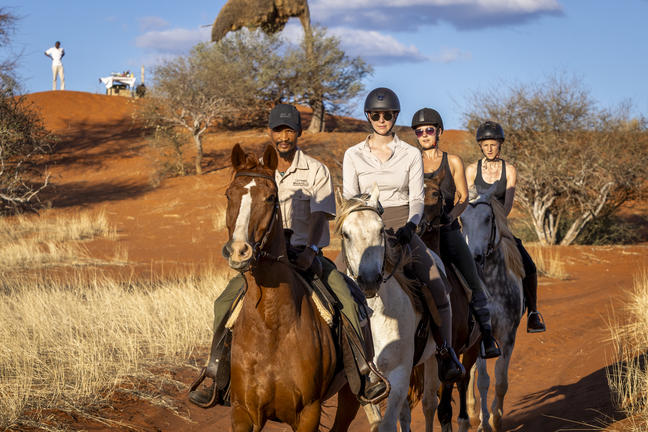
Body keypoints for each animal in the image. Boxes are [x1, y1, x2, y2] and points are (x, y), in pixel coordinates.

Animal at [335, 185, 440, 432]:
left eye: (381, 230)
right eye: (346, 234)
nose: (369, 281)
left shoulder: (399, 374)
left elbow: (388, 424)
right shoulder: (365, 385)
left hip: (433, 357)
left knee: (431, 403)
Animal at [459, 186, 525, 432]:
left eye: (488, 218)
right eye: (461, 220)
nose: (474, 257)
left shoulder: (507, 337)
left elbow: (501, 381)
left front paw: (497, 419)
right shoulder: (482, 339)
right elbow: (483, 381)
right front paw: (484, 423)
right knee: (471, 373)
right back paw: (472, 412)